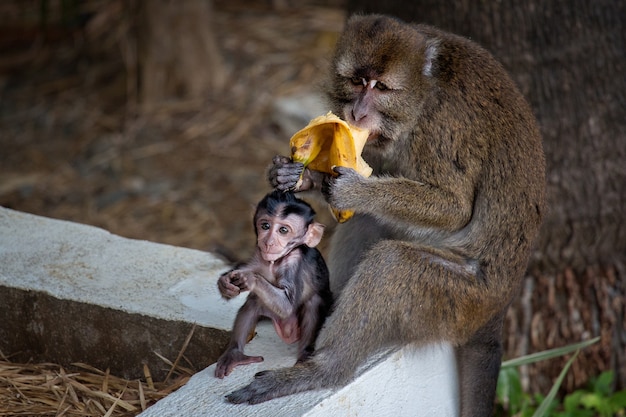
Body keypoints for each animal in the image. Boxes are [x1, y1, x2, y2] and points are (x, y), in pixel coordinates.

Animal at [213, 190, 332, 378]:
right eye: (265, 226)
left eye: (283, 230)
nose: (268, 242)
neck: (275, 261)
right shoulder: (258, 254)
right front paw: (225, 283)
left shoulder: (295, 261)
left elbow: (287, 305)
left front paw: (250, 278)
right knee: (253, 302)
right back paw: (234, 354)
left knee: (313, 302)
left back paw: (304, 355)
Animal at [227, 13, 544, 416]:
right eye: (356, 82)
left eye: (380, 87)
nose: (357, 113)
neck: (424, 93)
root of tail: (497, 310)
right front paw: (298, 176)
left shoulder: (443, 129)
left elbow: (455, 209)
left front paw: (354, 191)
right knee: (365, 222)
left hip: (462, 298)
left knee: (392, 262)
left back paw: (324, 370)